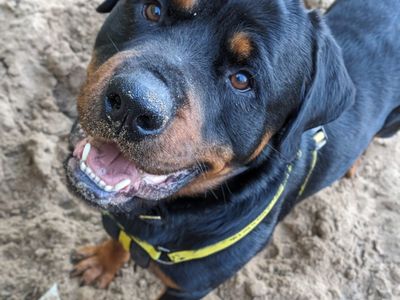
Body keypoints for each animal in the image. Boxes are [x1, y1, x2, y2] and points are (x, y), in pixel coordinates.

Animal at [65, 0, 400, 298]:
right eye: (154, 10)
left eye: (242, 79)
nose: (133, 104)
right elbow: (118, 239)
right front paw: (103, 261)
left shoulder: (188, 289)